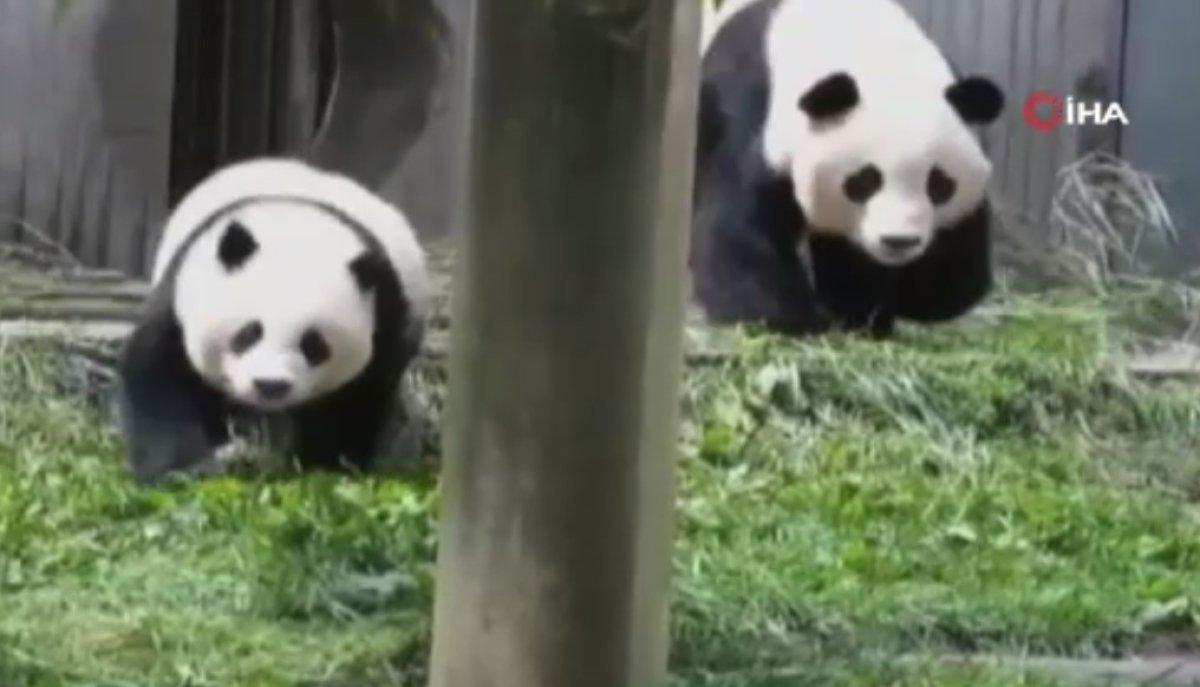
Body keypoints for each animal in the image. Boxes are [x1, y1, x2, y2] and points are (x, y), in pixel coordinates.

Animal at [118, 157, 430, 484]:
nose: (270, 385)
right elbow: (158, 379)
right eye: (248, 333)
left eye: (314, 345)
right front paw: (184, 468)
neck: (298, 229)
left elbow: (355, 402)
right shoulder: (181, 298)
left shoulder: (385, 321)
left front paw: (324, 467)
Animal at [691, 0, 1006, 337]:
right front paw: (792, 319)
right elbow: (738, 227)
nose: (898, 241)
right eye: (864, 181)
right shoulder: (750, 112)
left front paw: (871, 312)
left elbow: (954, 279)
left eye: (939, 184)